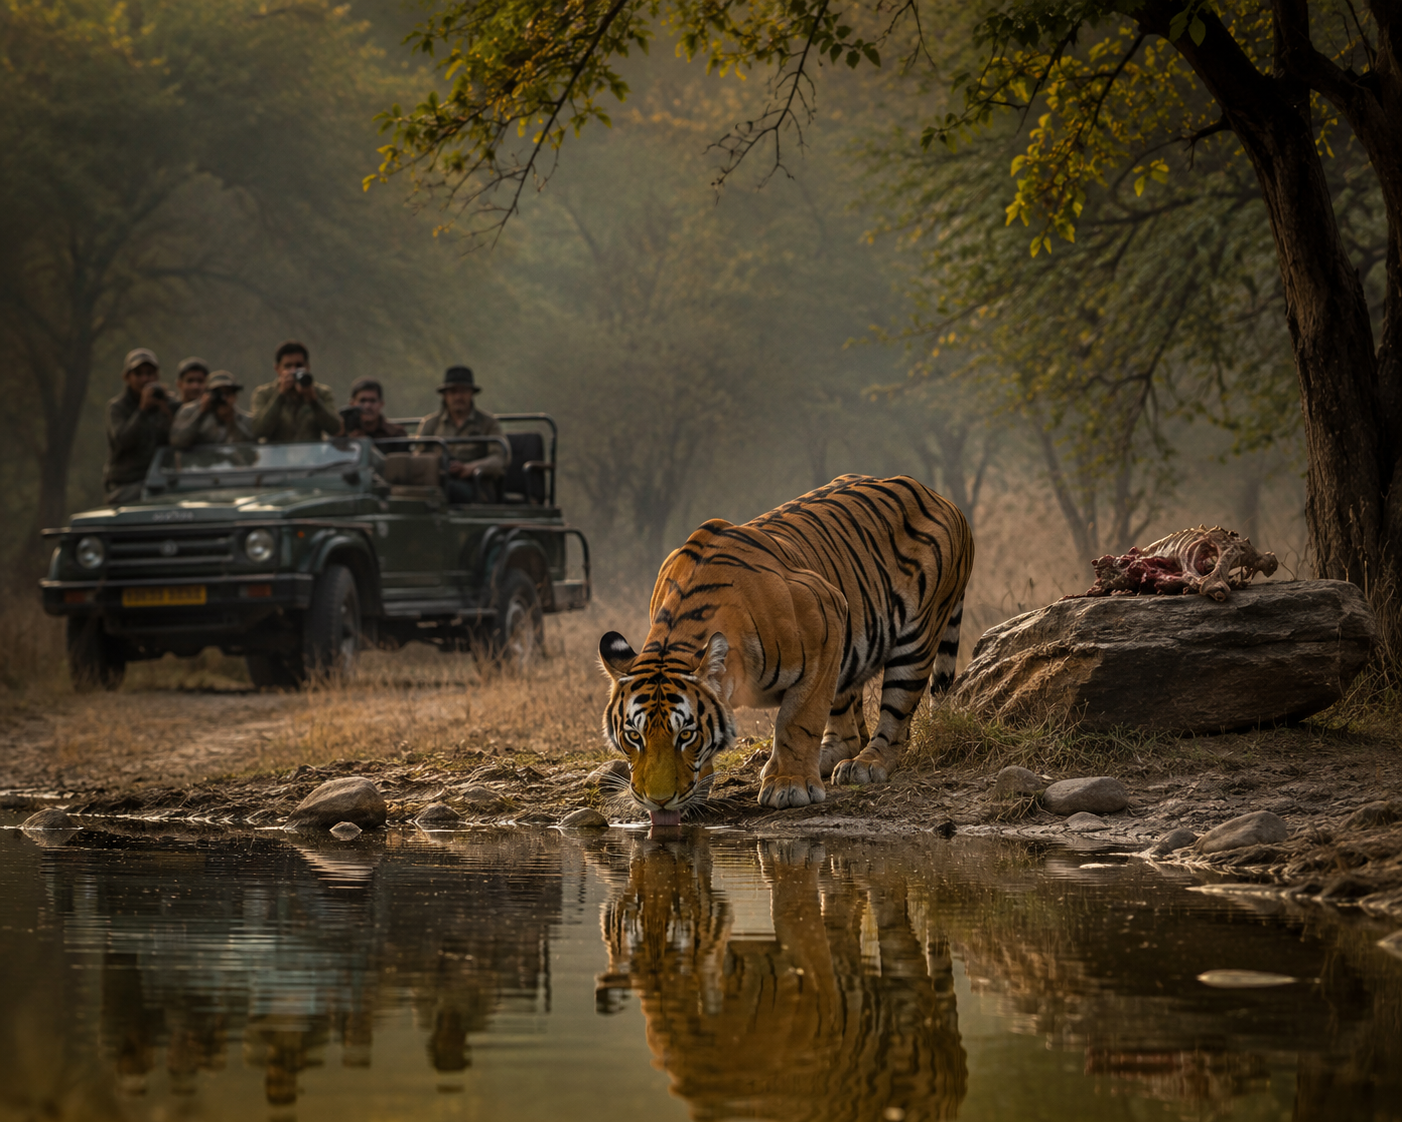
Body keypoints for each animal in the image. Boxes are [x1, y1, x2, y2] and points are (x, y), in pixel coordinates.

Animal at [599, 474, 975, 824]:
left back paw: (868, 763)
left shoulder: (827, 615)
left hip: (915, 637)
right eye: (634, 736)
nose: (658, 801)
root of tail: (939, 497)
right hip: (846, 652)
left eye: (686, 735)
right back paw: (825, 758)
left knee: (895, 716)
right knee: (847, 724)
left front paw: (790, 785)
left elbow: (797, 721)